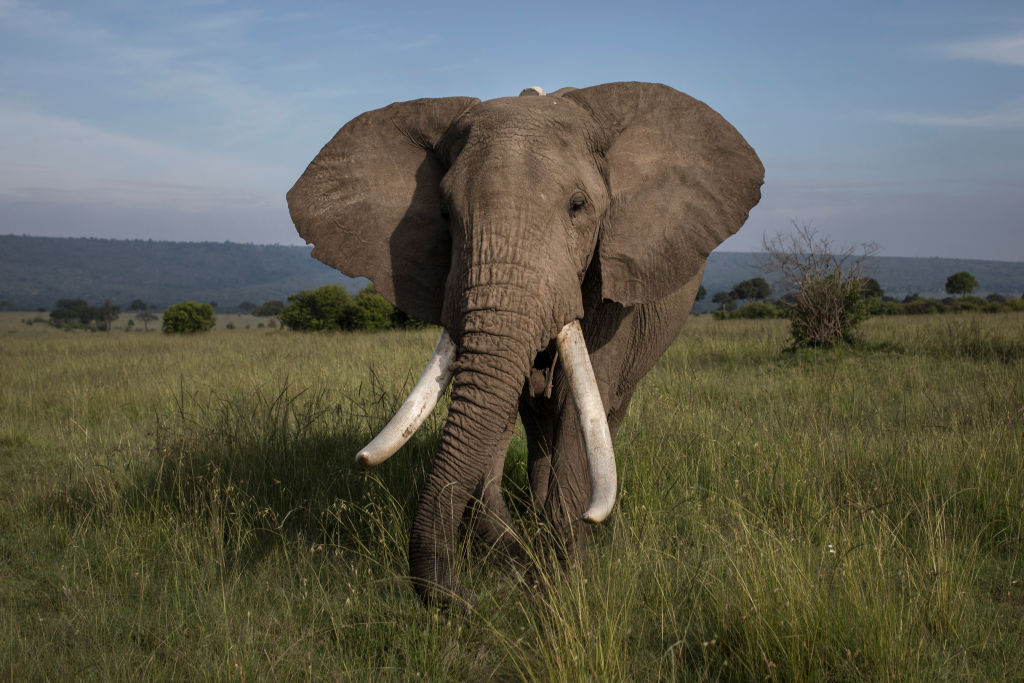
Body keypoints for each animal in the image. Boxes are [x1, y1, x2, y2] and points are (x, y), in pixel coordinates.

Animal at [287, 81, 763, 606]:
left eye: (578, 206)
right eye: (445, 214)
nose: (464, 599)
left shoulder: (613, 277)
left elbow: (579, 403)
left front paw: (566, 574)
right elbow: (498, 398)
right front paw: (521, 561)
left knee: (605, 408)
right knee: (536, 418)